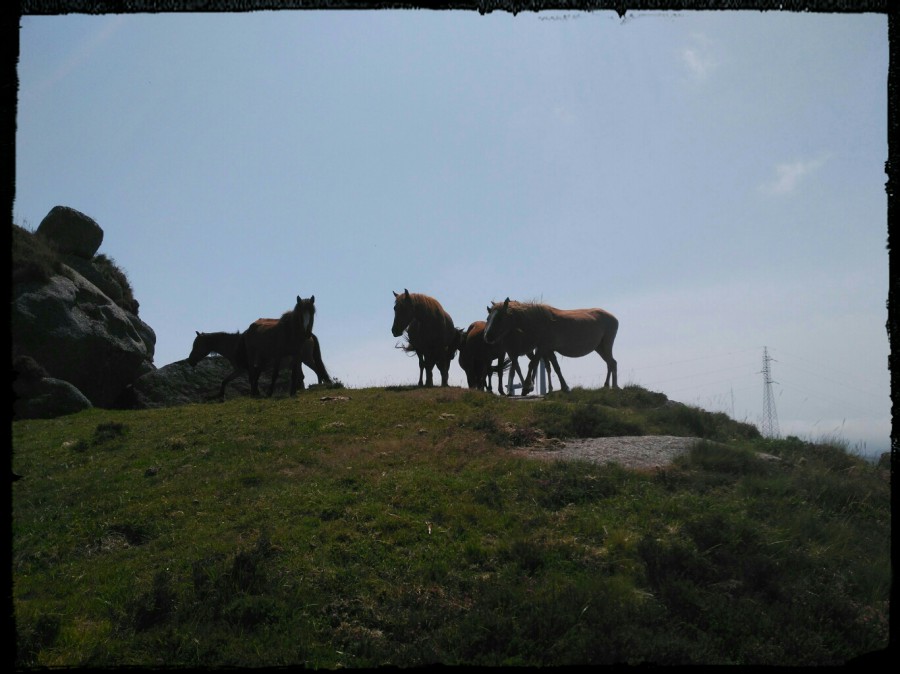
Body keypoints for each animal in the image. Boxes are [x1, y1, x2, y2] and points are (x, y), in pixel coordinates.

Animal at [188, 326, 332, 396]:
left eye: (197, 345)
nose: (190, 361)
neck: (236, 345)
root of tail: (308, 335)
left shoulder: (245, 369)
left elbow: (251, 381)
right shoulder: (242, 370)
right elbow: (225, 381)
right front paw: (220, 396)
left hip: (306, 359)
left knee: (318, 370)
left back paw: (320, 386)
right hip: (297, 362)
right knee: (302, 376)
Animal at [486, 298, 620, 388]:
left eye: (499, 318)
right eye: (488, 318)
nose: (487, 336)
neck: (538, 320)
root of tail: (614, 318)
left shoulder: (542, 348)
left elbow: (533, 364)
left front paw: (527, 387)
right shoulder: (548, 349)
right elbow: (555, 367)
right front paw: (564, 387)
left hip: (606, 345)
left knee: (612, 363)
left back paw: (613, 386)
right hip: (599, 347)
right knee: (610, 363)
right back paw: (607, 385)